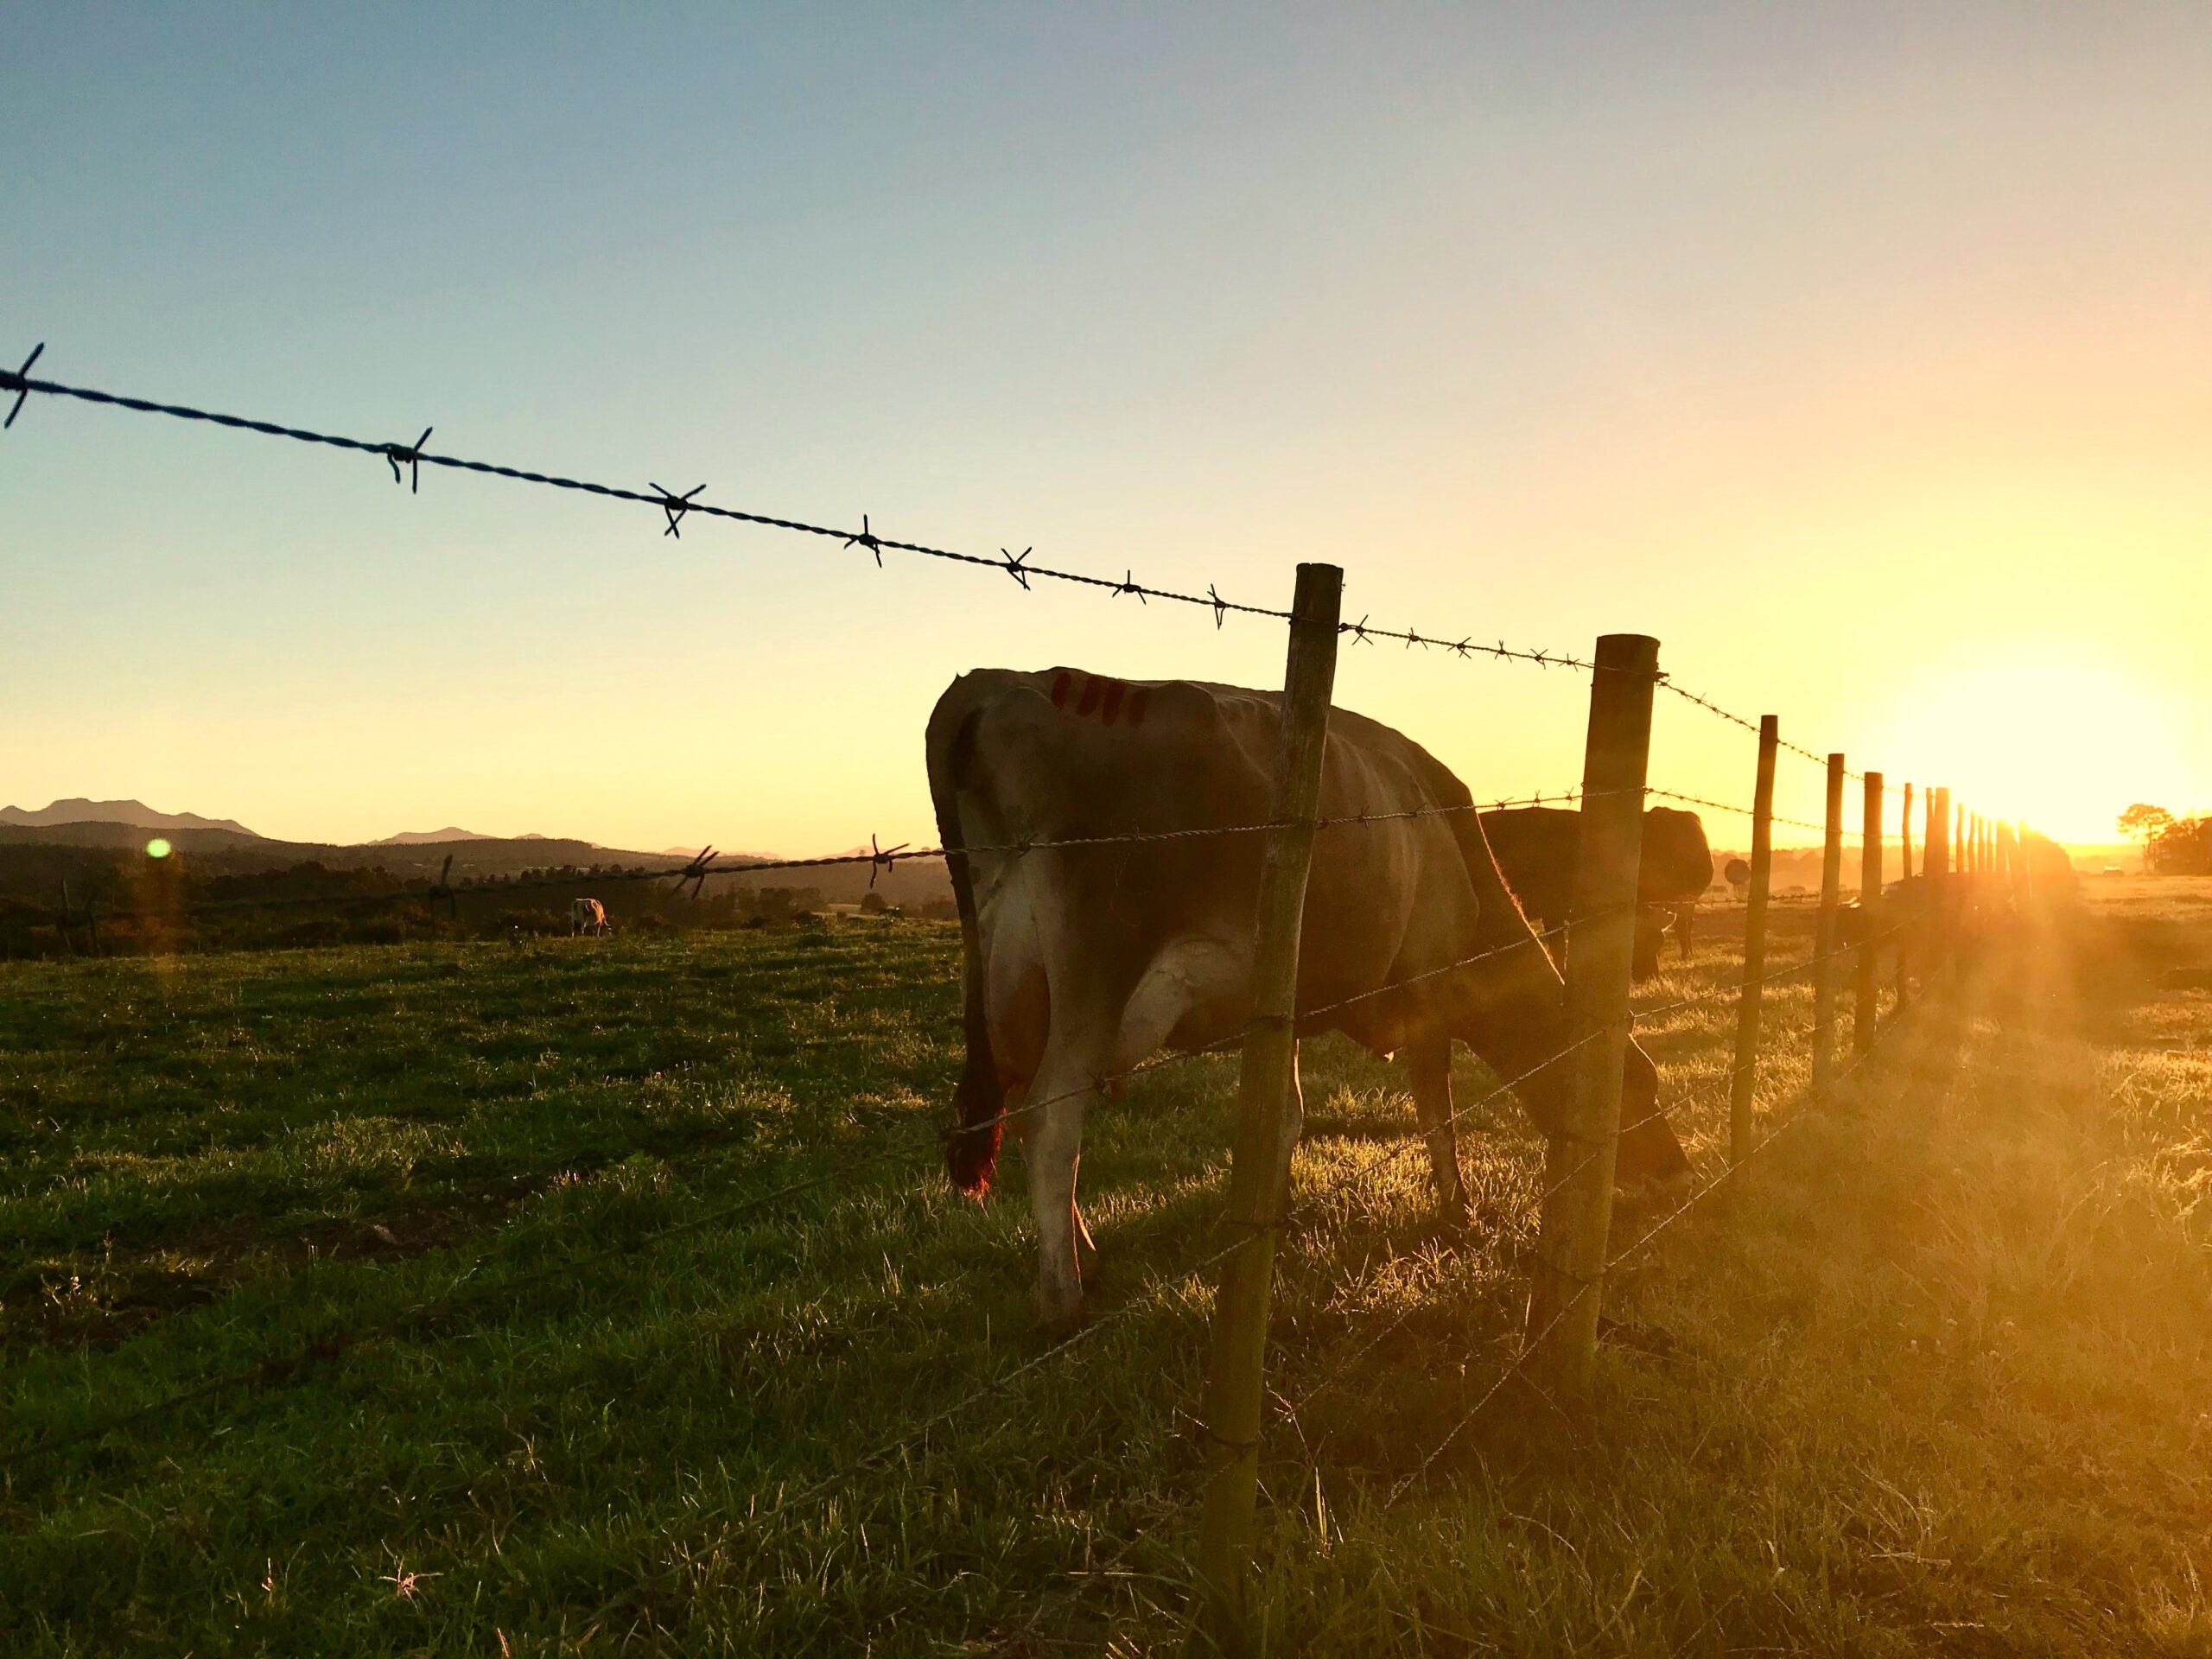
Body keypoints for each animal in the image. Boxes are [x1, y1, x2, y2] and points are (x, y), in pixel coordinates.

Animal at [919, 668, 1689, 1336]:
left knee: (1027, 1111)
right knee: (1051, 1122)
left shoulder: (1282, 1008)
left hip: (1012, 990)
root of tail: (992, 684)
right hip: (1095, 968)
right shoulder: (1427, 979)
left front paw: (1275, 1211)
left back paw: (1086, 1253)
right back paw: (1063, 1298)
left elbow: (1285, 1117)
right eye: (1639, 1088)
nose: (1676, 1172)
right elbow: (1436, 1109)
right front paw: (1458, 1209)